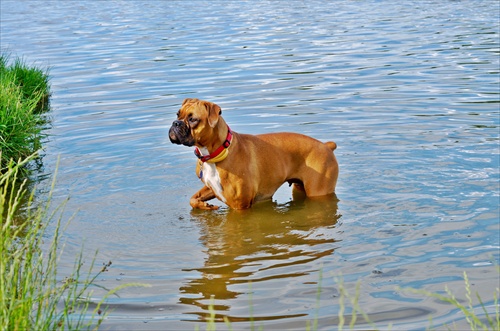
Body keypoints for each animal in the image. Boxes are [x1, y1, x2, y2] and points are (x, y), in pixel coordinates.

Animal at [169, 98, 340, 210]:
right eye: (177, 114)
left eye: (193, 119)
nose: (175, 123)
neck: (217, 153)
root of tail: (326, 146)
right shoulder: (213, 187)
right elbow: (193, 199)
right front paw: (205, 205)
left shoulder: (239, 206)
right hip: (299, 188)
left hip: (318, 192)